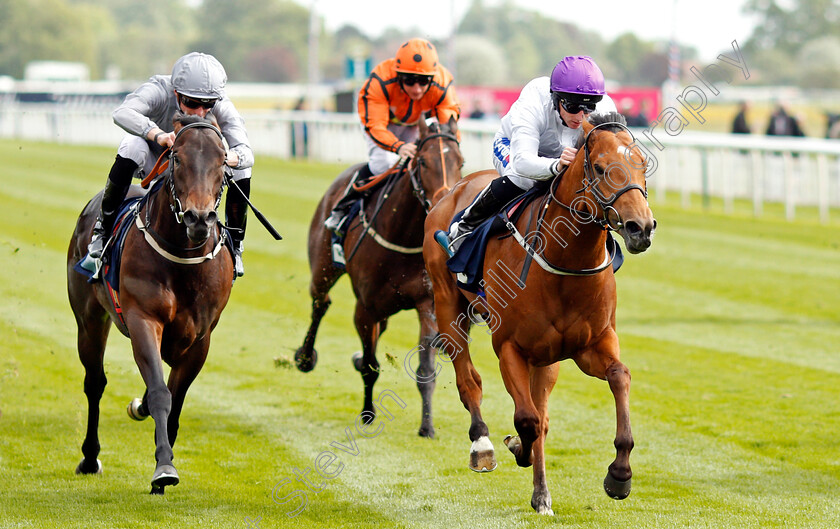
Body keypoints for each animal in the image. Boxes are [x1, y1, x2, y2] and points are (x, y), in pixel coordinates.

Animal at [65, 113, 233, 492]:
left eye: (222, 162)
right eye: (177, 159)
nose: (198, 218)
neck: (182, 258)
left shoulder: (200, 339)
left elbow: (176, 398)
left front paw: (163, 466)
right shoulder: (143, 319)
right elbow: (160, 393)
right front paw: (164, 469)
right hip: (89, 319)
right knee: (94, 382)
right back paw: (89, 457)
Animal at [296, 117, 462, 436]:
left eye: (460, 161)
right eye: (423, 161)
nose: (444, 203)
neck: (402, 235)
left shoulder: (427, 304)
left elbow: (425, 370)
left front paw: (427, 426)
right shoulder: (366, 308)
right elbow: (371, 367)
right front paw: (367, 414)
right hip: (323, 269)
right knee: (320, 303)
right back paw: (305, 357)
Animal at [426, 111, 656, 512]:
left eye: (642, 164)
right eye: (600, 167)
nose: (640, 227)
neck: (564, 261)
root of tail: (449, 190)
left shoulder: (589, 345)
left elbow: (619, 377)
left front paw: (619, 475)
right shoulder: (509, 348)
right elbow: (527, 420)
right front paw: (516, 446)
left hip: (546, 358)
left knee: (541, 411)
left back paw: (541, 494)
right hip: (447, 305)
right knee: (469, 380)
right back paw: (482, 445)